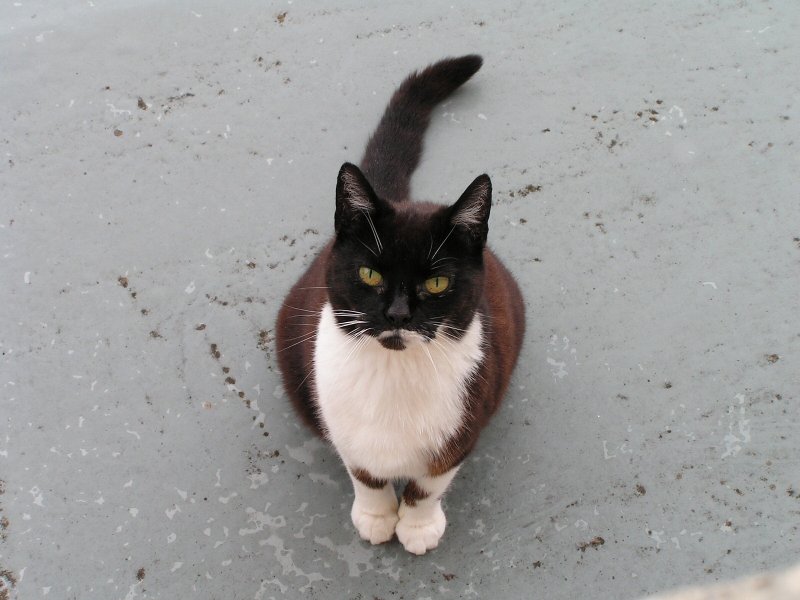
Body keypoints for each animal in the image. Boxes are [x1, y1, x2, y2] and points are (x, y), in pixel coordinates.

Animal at [276, 55, 524, 552]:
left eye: (437, 283)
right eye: (370, 274)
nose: (398, 314)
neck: (393, 373)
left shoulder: (462, 424)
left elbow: (428, 483)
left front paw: (417, 526)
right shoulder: (341, 421)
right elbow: (364, 473)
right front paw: (376, 516)